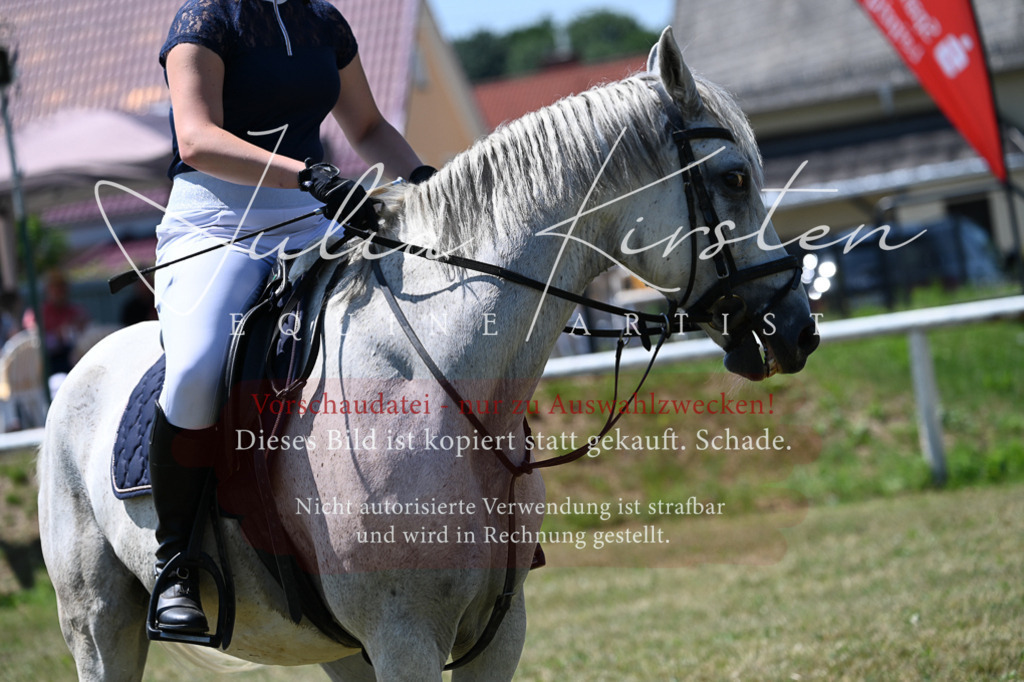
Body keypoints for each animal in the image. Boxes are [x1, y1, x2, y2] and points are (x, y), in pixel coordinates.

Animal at [38, 28, 819, 681]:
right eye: (734, 178)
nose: (797, 329)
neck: (445, 380)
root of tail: (78, 373)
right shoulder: (404, 637)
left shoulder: (497, 633)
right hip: (99, 628)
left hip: (336, 649)